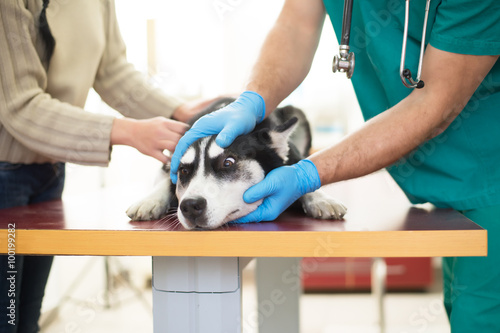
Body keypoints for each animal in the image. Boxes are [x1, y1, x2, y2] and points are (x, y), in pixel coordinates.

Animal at [128, 97, 348, 230]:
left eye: (228, 163)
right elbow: (165, 180)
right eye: (183, 171)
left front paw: (320, 198)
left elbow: (299, 173)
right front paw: (150, 200)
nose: (190, 206)